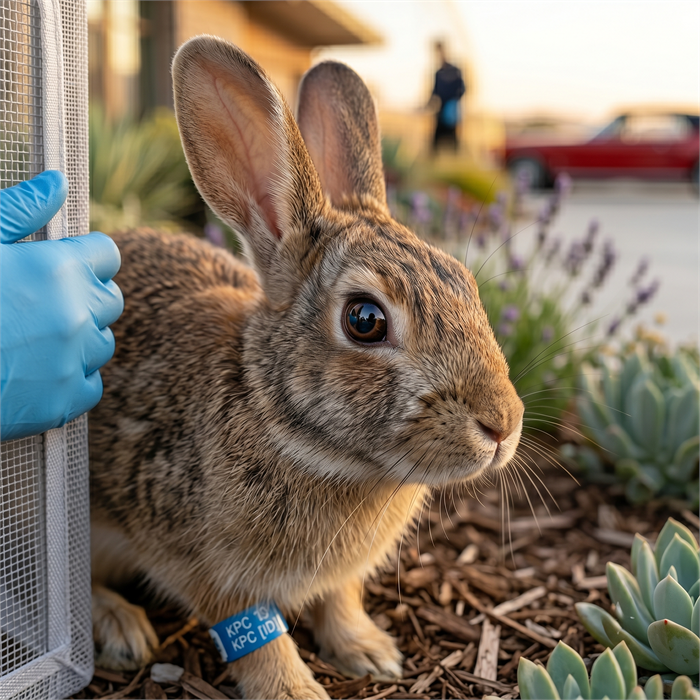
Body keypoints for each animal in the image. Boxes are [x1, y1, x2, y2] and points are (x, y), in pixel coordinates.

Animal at [88, 35, 524, 700]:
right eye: (364, 319)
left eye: (466, 284)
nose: (503, 424)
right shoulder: (203, 562)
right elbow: (251, 632)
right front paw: (294, 689)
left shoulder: (336, 576)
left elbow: (339, 599)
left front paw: (370, 653)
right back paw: (121, 627)